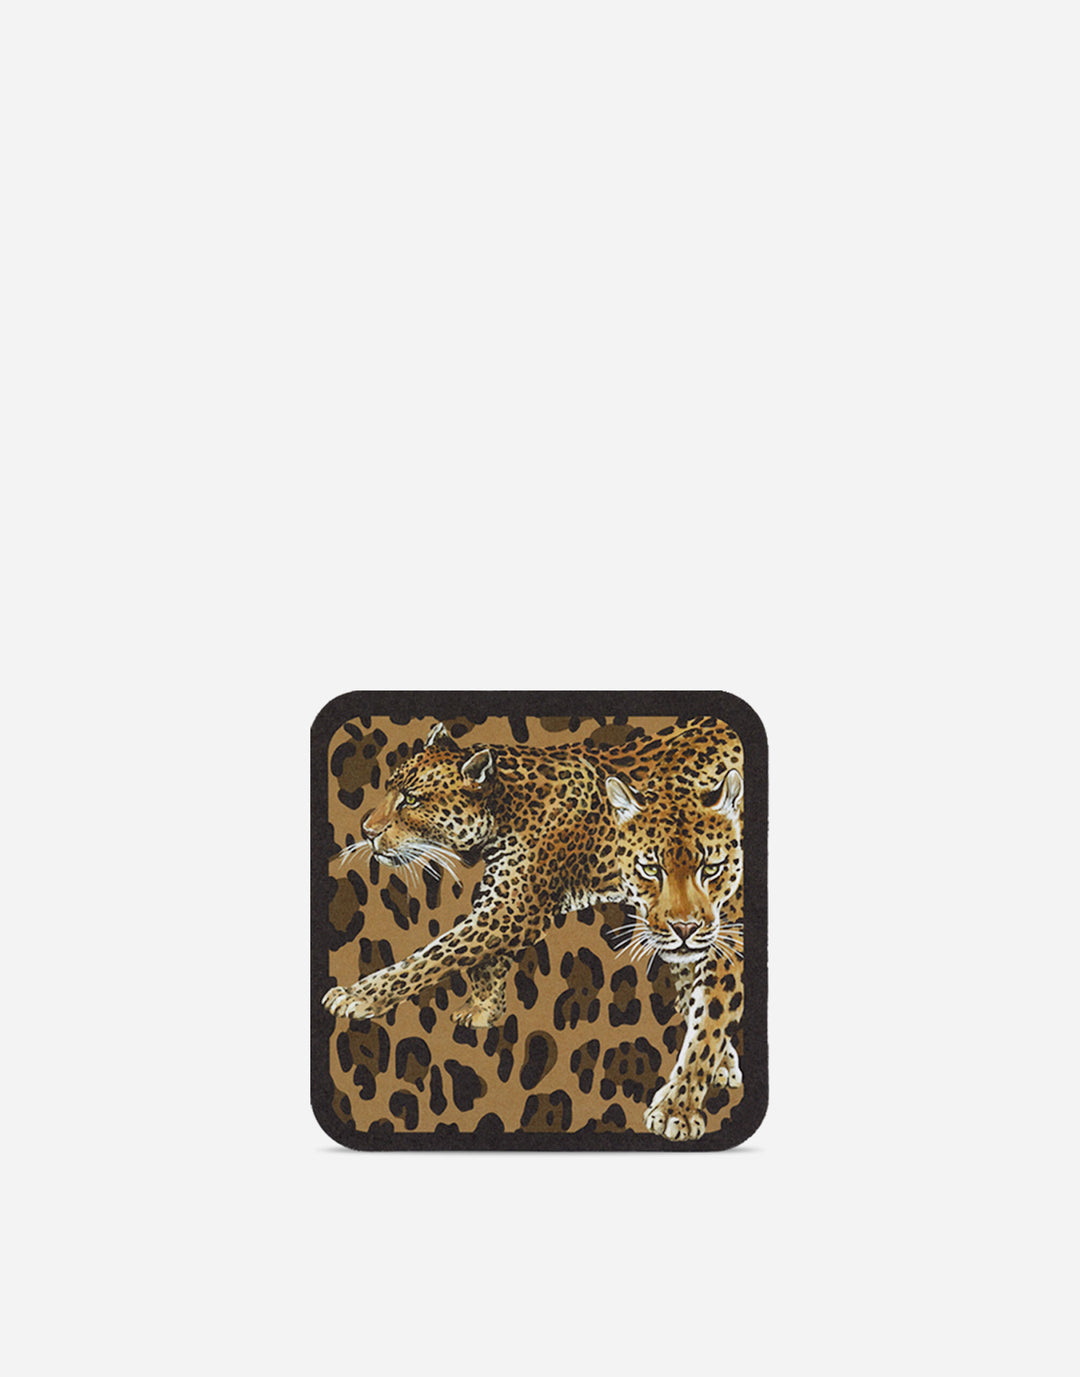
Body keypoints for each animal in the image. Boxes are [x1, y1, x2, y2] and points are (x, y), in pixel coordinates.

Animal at [603, 765, 746, 1142]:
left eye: (710, 868)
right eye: (651, 869)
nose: (684, 928)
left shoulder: (731, 944)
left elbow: (709, 1023)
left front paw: (676, 1110)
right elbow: (695, 1003)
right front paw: (723, 1064)